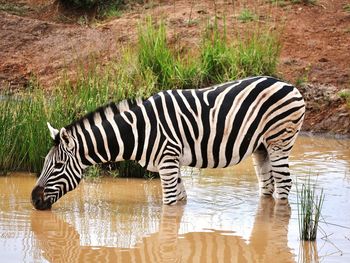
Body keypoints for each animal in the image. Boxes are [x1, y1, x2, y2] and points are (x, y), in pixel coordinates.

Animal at [30, 76, 304, 210]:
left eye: (57, 167)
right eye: (44, 164)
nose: (33, 200)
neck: (138, 131)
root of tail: (289, 85)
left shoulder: (168, 161)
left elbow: (169, 205)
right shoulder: (171, 164)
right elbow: (180, 202)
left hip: (279, 140)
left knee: (284, 185)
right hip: (261, 147)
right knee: (268, 185)